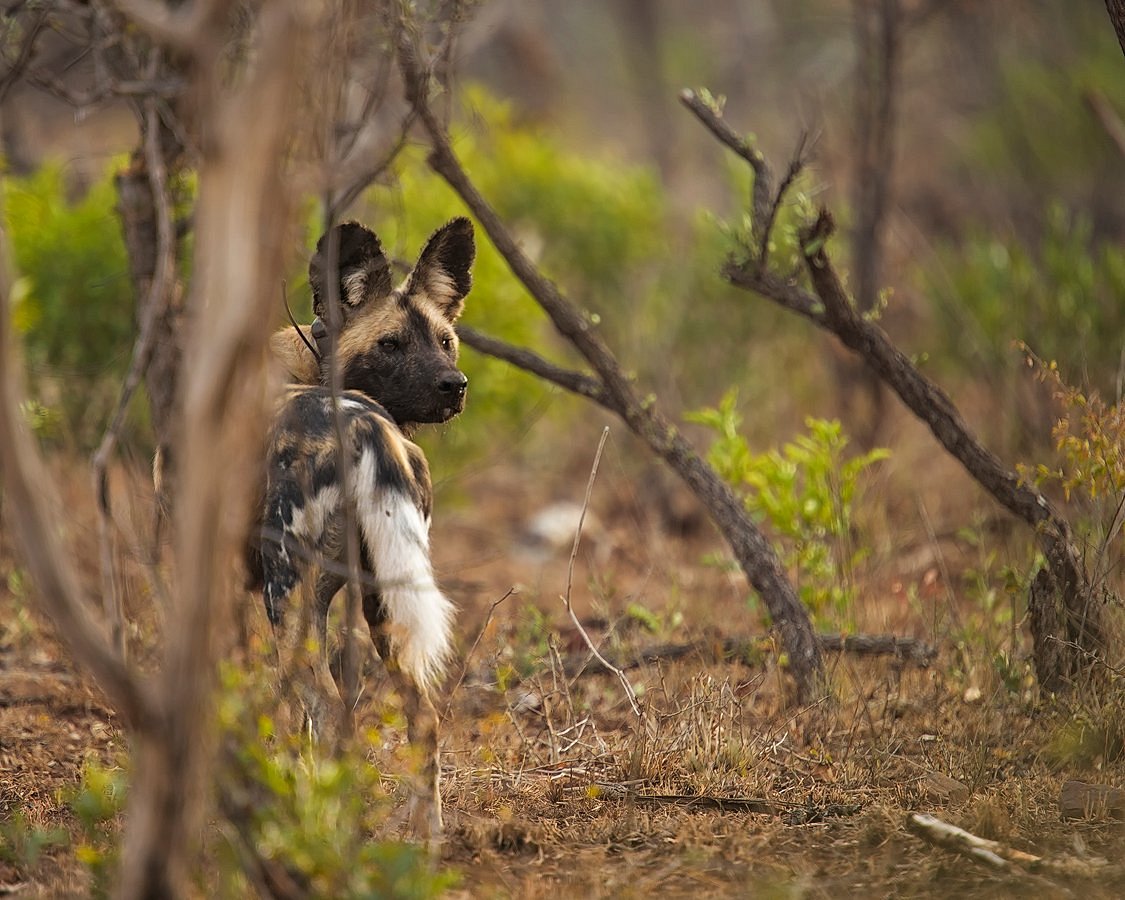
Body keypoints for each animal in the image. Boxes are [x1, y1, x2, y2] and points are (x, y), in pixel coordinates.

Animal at [253, 216, 472, 837]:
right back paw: (423, 843)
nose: (454, 384)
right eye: (390, 344)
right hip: (382, 609)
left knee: (329, 717)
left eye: (444, 340)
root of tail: (368, 427)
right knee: (423, 717)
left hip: (287, 600)